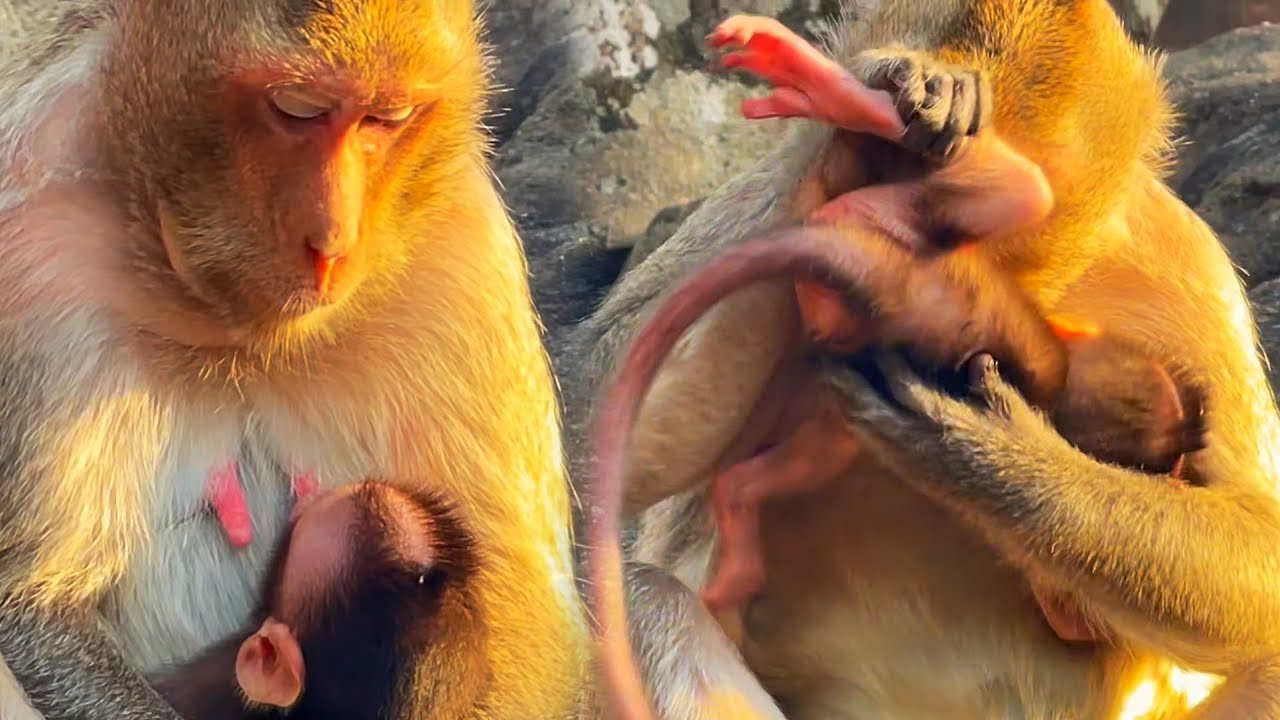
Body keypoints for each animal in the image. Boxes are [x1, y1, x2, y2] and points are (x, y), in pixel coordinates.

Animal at [565, 3, 1280, 719]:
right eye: (895, 180)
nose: (863, 252)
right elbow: (598, 436)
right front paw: (866, 108)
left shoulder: (1178, 261)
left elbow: (1259, 559)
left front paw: (978, 450)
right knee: (641, 591)